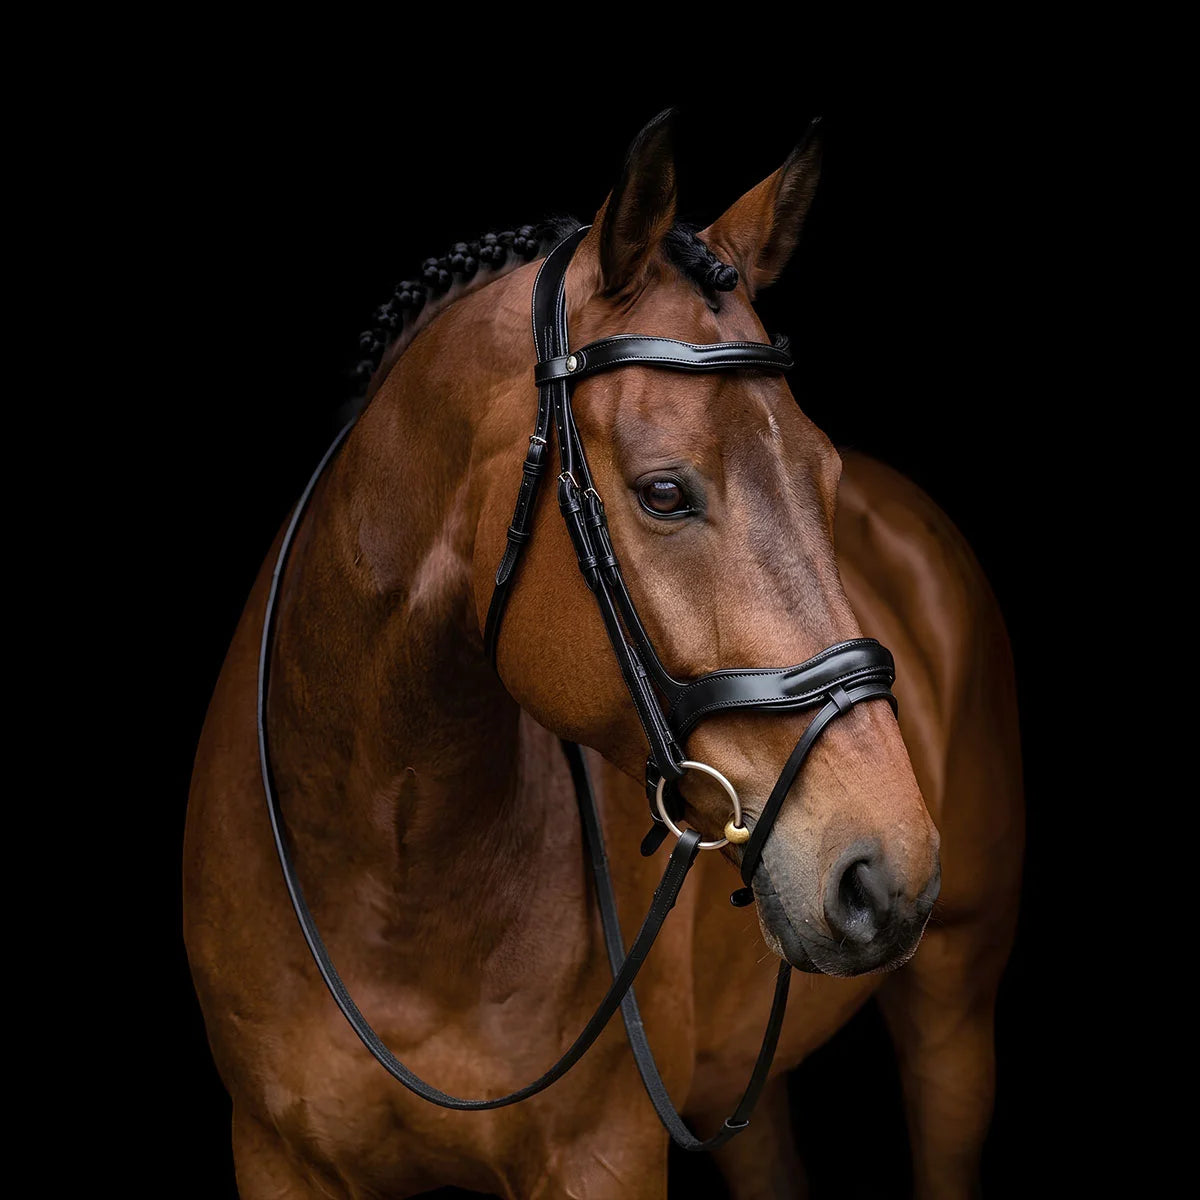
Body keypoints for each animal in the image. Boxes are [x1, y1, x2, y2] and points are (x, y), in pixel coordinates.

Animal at [184, 111, 1023, 1199]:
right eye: (664, 492)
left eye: (825, 474)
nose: (885, 870)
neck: (386, 871)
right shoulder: (277, 1155)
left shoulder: (604, 1156)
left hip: (953, 1017)